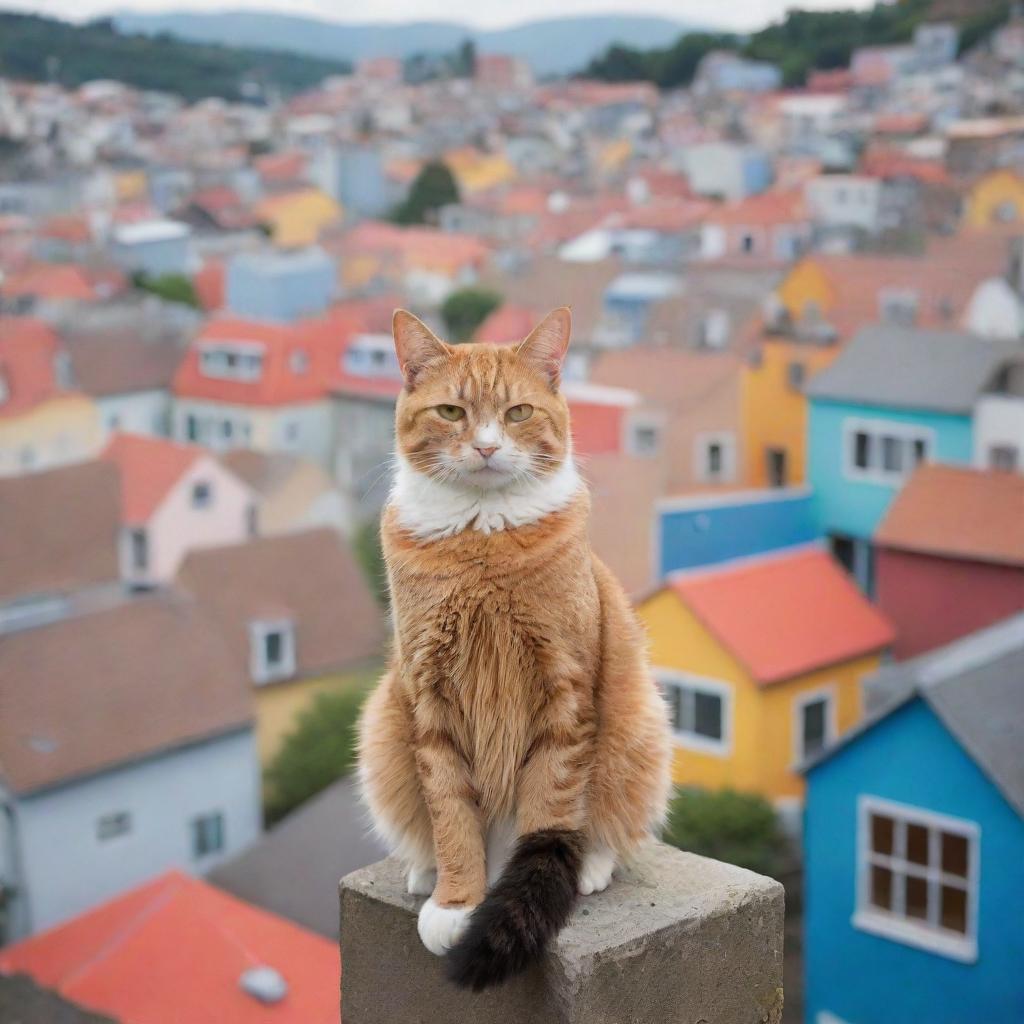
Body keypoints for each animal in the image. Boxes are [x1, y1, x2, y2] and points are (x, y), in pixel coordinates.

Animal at [358, 307, 671, 987]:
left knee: (605, 821)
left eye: (519, 412)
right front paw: (456, 901)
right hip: (384, 729)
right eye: (452, 412)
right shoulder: (428, 698)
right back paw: (425, 870)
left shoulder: (563, 690)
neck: (482, 537)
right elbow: (450, 812)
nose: (485, 446)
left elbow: (550, 801)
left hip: (637, 722)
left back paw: (589, 865)